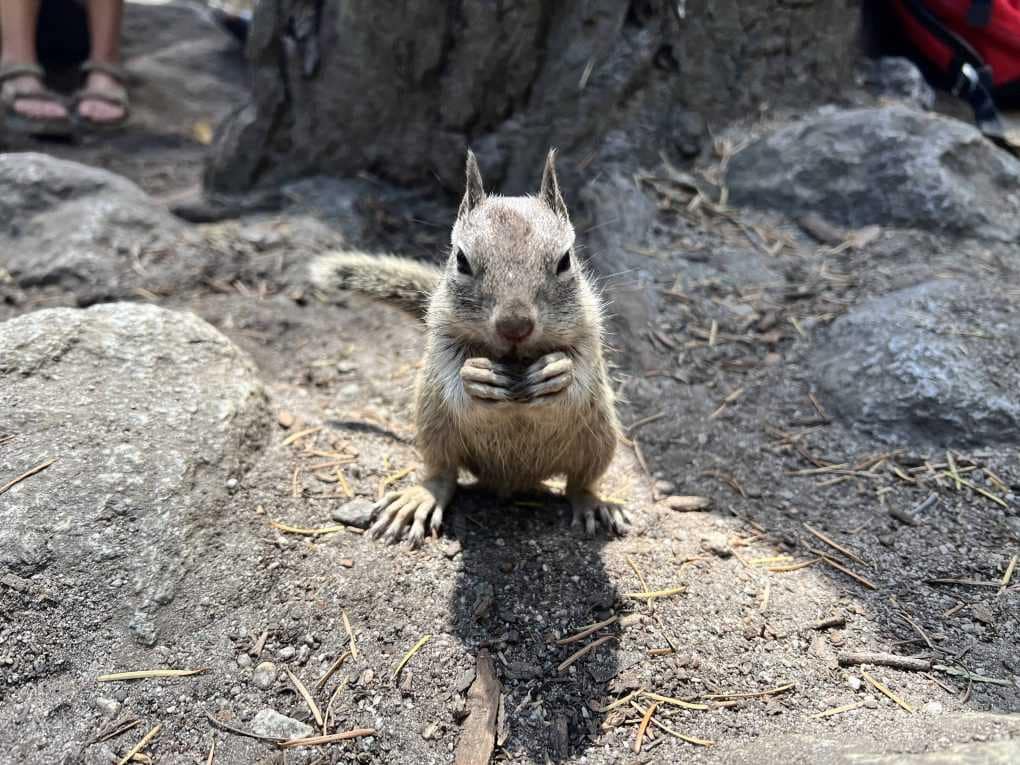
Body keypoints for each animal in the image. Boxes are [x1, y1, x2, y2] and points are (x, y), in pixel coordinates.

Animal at [310, 149, 627, 546]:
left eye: (565, 260)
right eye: (461, 259)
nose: (514, 325)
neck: (514, 358)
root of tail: (513, 480)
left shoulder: (588, 329)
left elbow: (582, 370)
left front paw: (556, 373)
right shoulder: (442, 334)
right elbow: (451, 374)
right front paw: (476, 376)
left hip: (599, 440)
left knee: (579, 483)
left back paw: (595, 505)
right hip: (433, 429)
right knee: (443, 474)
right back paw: (420, 498)